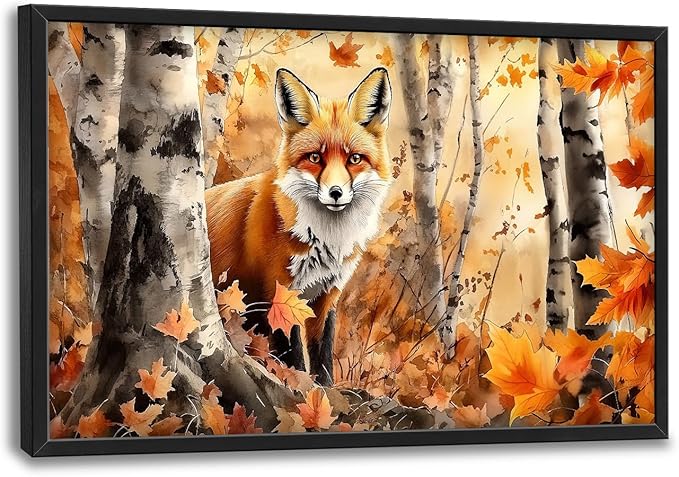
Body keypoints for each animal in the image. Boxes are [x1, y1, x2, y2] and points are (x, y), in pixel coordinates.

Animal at [205, 67, 392, 385]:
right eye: (315, 157)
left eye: (354, 158)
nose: (335, 192)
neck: (326, 241)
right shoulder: (278, 294)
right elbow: (292, 356)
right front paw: (300, 387)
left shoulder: (327, 295)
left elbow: (323, 355)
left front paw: (325, 392)